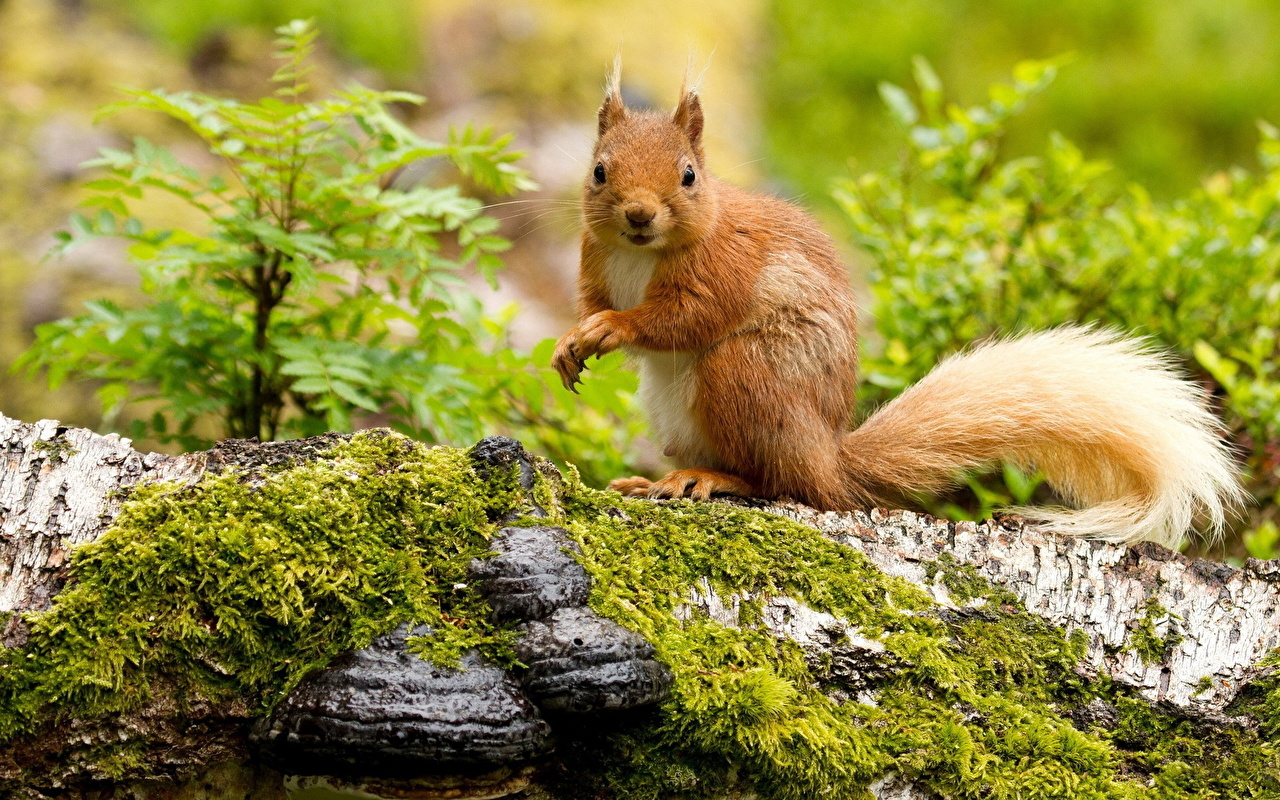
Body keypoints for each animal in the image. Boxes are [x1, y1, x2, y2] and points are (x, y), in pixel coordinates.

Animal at [551, 68, 1244, 547]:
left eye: (689, 175)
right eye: (599, 170)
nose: (640, 215)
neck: (641, 254)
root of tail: (828, 456)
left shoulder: (725, 270)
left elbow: (684, 318)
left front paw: (614, 328)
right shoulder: (593, 260)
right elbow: (591, 304)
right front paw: (571, 341)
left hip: (747, 377)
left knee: (787, 487)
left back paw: (714, 480)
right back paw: (654, 481)